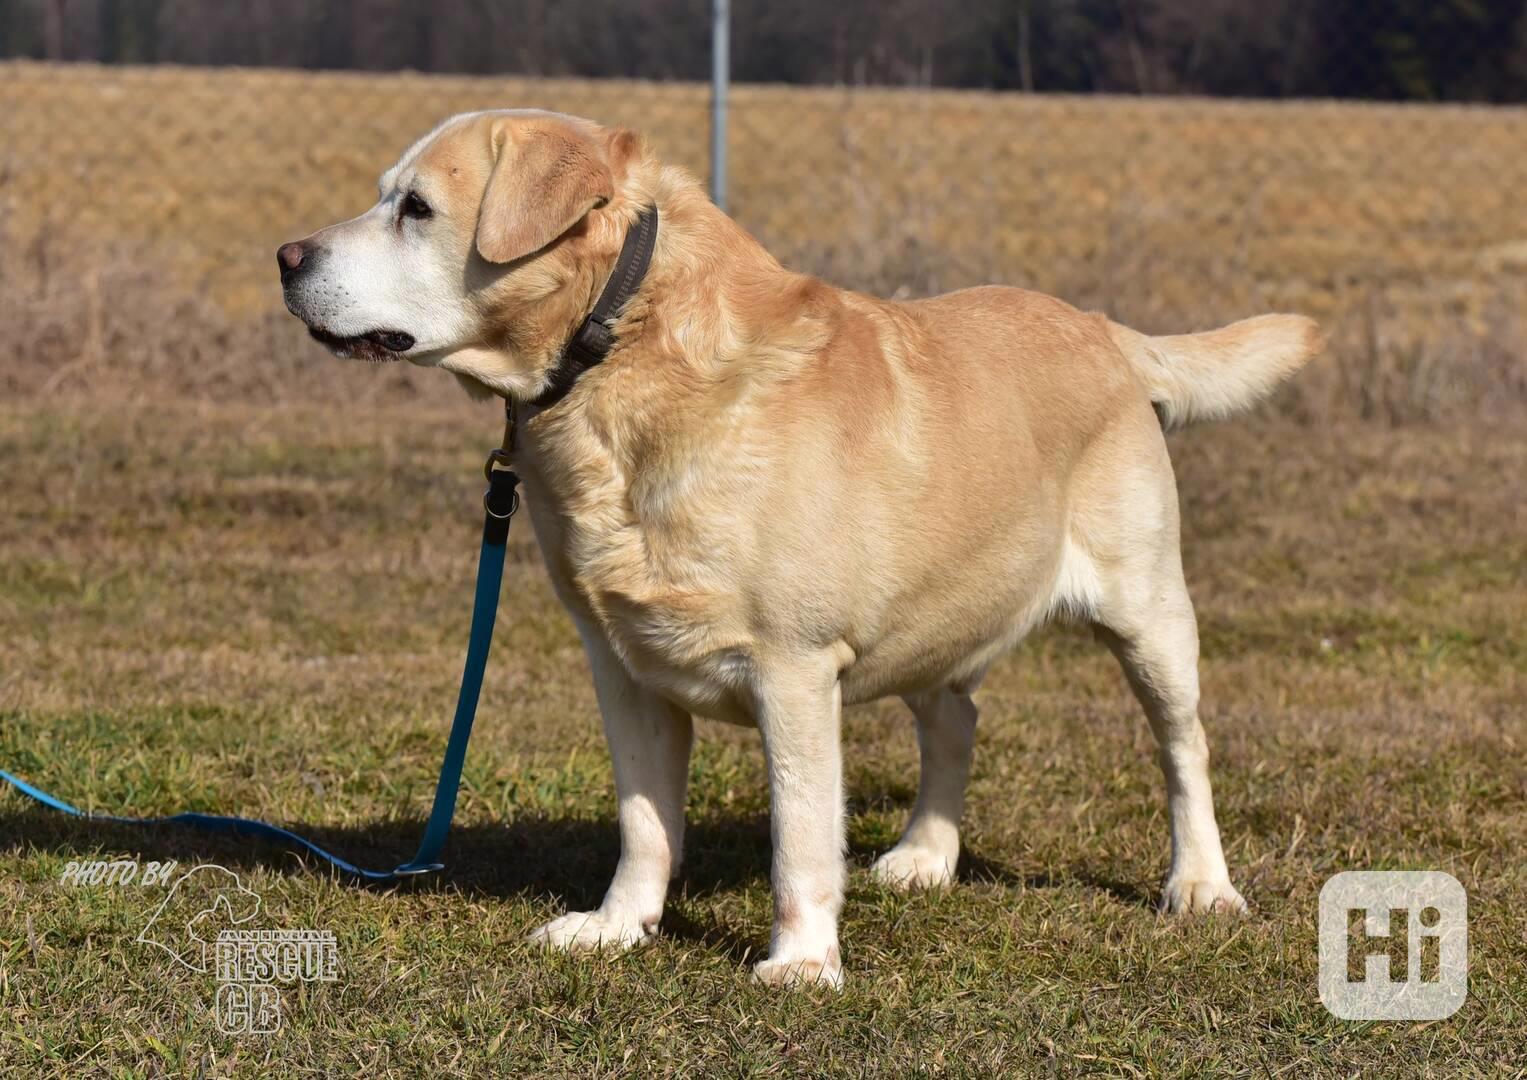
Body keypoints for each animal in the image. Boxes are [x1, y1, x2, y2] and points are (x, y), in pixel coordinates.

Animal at [277, 109, 1325, 989]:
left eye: (416, 208)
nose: (285, 256)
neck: (624, 350)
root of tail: (1107, 332)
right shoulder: (621, 666)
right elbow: (643, 822)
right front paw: (618, 925)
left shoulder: (792, 665)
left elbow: (800, 833)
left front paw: (802, 961)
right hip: (934, 608)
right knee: (954, 718)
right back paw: (924, 856)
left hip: (1149, 614)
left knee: (1184, 749)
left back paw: (1199, 885)